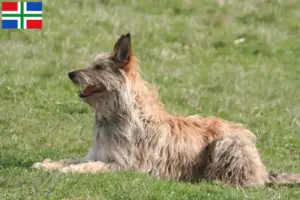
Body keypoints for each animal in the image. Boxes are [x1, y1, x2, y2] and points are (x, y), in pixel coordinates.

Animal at [32, 32, 300, 188]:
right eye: (91, 64)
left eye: (98, 67)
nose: (71, 74)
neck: (117, 114)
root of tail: (262, 170)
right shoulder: (97, 154)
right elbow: (71, 159)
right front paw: (47, 164)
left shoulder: (123, 165)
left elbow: (86, 167)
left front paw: (68, 170)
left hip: (226, 145)